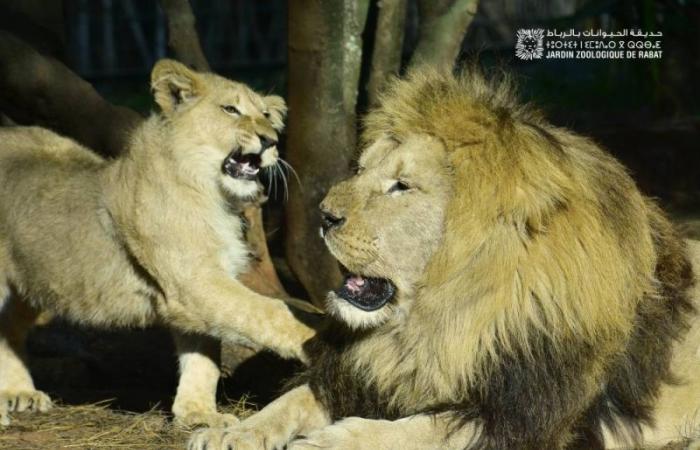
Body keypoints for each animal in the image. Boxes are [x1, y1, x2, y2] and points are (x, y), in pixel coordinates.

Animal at [0, 59, 314, 426]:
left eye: (266, 115)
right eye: (230, 109)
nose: (271, 140)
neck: (213, 194)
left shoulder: (194, 290)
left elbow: (204, 356)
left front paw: (198, 413)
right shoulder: (193, 280)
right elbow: (268, 312)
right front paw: (318, 339)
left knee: (8, 330)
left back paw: (19, 393)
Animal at [190, 67, 700, 450]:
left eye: (401, 186)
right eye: (362, 170)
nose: (324, 215)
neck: (433, 323)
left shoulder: (525, 418)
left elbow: (419, 430)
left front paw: (329, 442)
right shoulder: (363, 374)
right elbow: (293, 400)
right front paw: (235, 431)